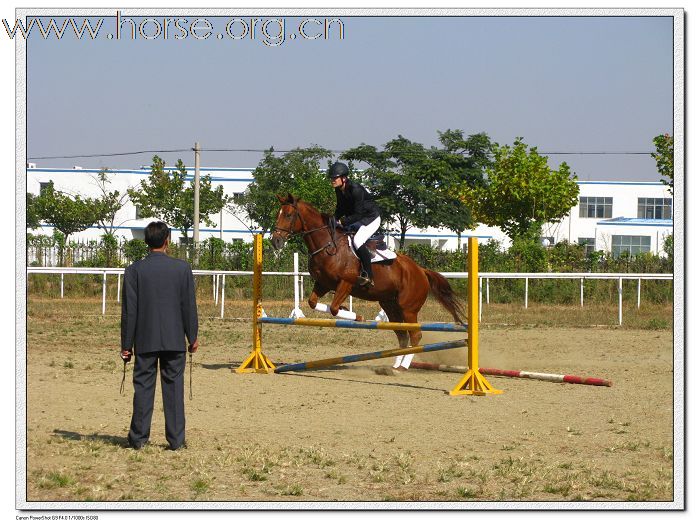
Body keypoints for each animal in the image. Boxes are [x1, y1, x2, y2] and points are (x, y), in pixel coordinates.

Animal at [270, 195, 468, 354]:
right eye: (278, 214)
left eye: (288, 215)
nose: (275, 241)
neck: (328, 245)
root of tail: (420, 270)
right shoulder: (323, 283)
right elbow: (313, 303)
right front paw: (347, 310)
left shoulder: (347, 282)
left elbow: (333, 308)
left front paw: (356, 316)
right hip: (390, 306)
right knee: (402, 334)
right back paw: (396, 365)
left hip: (409, 309)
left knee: (415, 335)